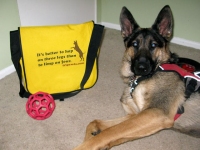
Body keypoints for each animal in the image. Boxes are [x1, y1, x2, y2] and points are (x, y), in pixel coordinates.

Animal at [74, 4, 200, 150]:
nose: (141, 67)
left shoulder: (155, 113)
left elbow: (109, 132)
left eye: (153, 45)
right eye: (135, 44)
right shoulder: (136, 115)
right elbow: (96, 124)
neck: (142, 79)